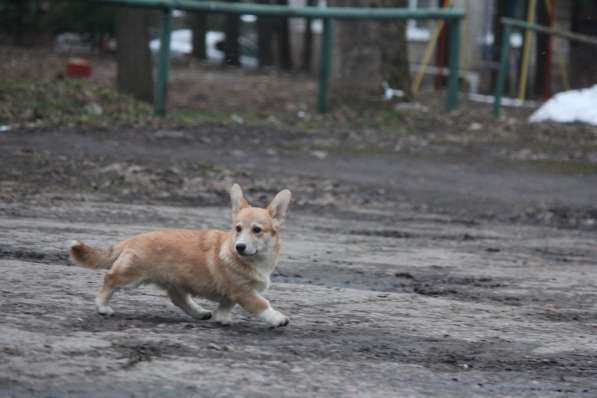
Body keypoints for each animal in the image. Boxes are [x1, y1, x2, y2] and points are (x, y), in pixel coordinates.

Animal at [68, 183, 292, 326]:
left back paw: (200, 312)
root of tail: (131, 240)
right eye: (237, 229)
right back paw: (102, 307)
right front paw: (277, 318)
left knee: (179, 299)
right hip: (131, 276)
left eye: (256, 230)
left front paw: (223, 319)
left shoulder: (231, 293)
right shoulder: (243, 291)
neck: (256, 260)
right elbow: (261, 304)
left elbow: (225, 306)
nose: (240, 247)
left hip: (176, 282)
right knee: (109, 278)